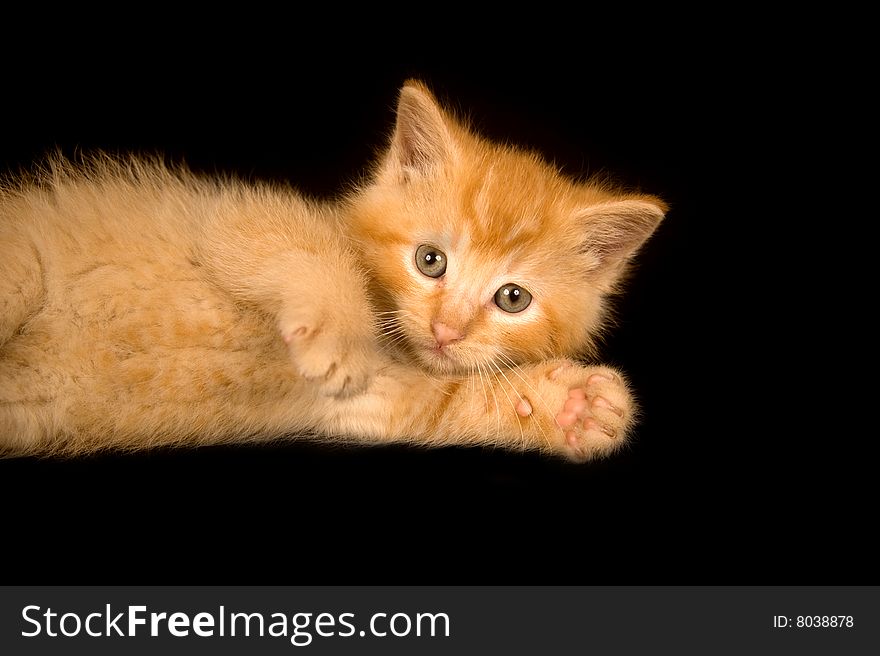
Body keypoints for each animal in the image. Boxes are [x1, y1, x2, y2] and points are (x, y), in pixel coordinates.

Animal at [0, 80, 660, 462]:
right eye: (430, 260)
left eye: (513, 299)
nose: (447, 331)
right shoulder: (232, 221)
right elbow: (306, 256)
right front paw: (339, 335)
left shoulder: (367, 400)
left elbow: (435, 401)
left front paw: (571, 405)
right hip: (19, 267)